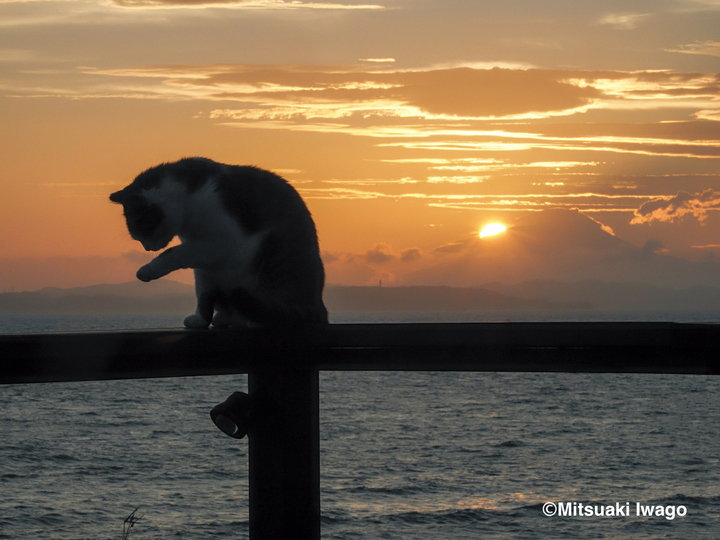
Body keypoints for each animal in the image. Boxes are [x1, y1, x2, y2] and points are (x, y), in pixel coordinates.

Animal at [110, 158, 330, 326]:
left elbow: (175, 252)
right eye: (138, 237)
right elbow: (203, 293)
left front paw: (148, 269)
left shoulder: (223, 243)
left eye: (142, 231)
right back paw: (220, 318)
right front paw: (200, 319)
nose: (147, 248)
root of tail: (319, 307)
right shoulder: (203, 265)